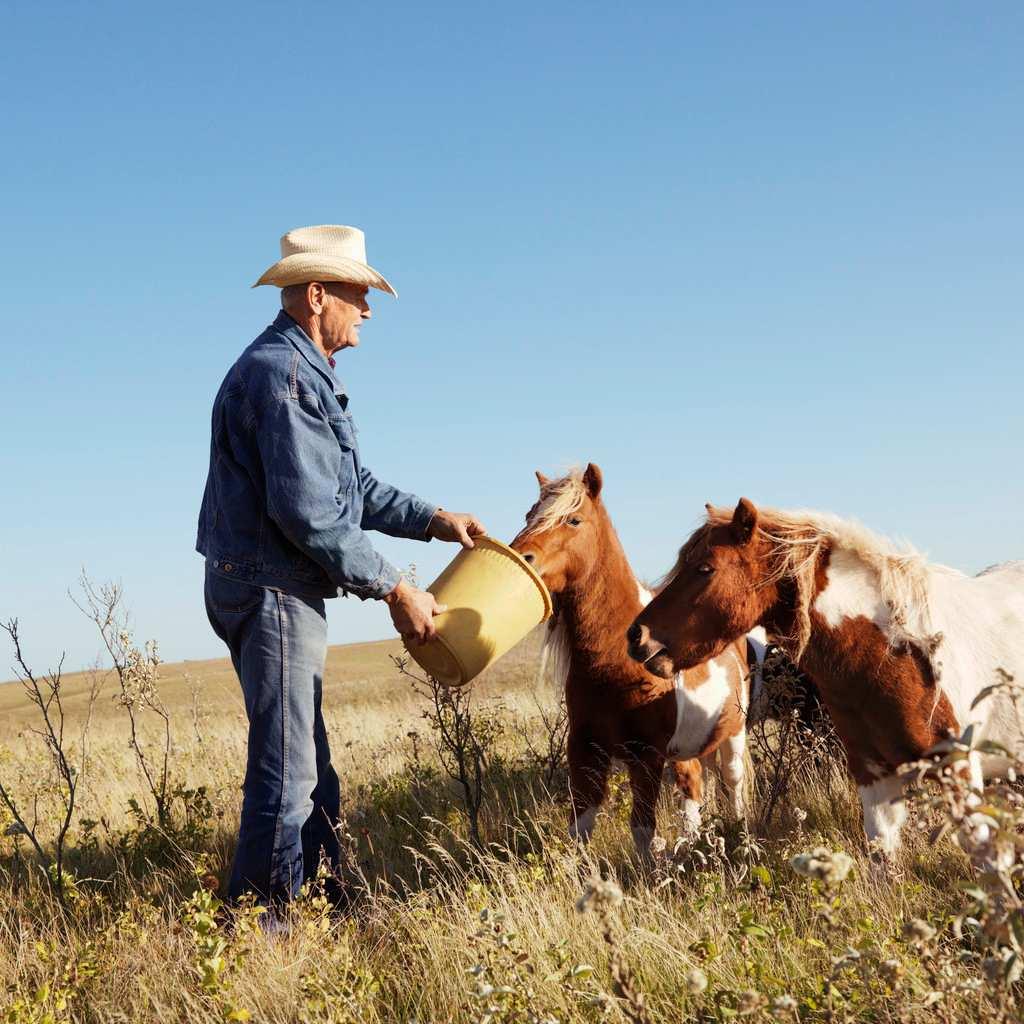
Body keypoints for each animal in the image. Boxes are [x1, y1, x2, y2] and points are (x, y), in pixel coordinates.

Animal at [512, 468, 761, 851]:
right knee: (693, 787)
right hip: (685, 750)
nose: (520, 556)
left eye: (573, 519)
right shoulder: (585, 750)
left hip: (732, 737)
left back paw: (743, 841)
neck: (613, 662)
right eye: (529, 516)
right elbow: (580, 828)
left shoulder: (646, 756)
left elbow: (642, 829)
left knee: (735, 788)